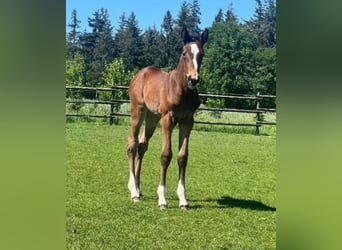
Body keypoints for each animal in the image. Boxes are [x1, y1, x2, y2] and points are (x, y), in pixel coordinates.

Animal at [126, 26, 208, 209]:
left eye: (202, 54)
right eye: (184, 53)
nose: (193, 79)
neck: (181, 90)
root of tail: (139, 75)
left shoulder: (187, 121)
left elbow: (182, 156)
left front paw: (183, 200)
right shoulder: (167, 119)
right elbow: (166, 155)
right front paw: (162, 199)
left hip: (152, 117)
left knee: (142, 144)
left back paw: (138, 189)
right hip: (138, 111)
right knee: (132, 144)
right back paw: (133, 190)